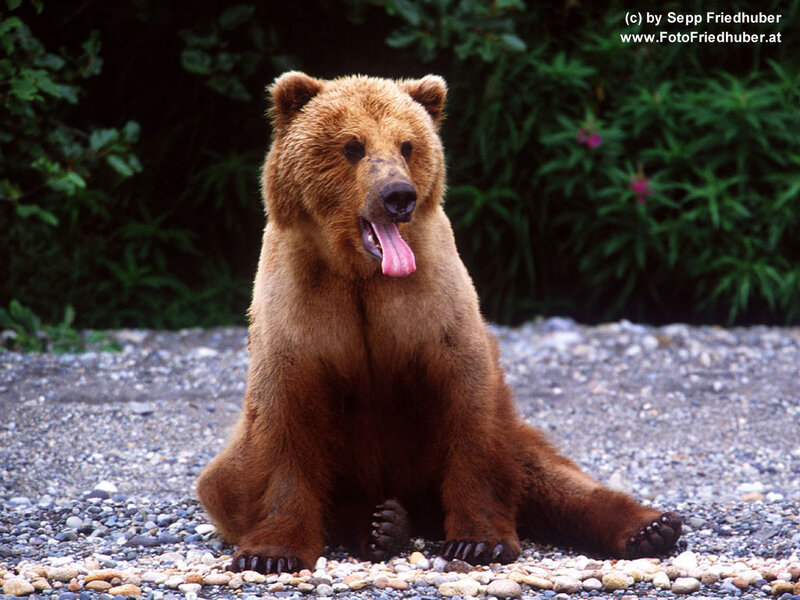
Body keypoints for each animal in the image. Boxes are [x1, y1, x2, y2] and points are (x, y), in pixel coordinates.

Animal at [196, 71, 683, 574]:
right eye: (352, 145)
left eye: (407, 145)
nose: (398, 196)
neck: (362, 275)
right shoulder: (299, 305)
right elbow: (286, 419)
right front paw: (271, 553)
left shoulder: (431, 302)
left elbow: (467, 406)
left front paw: (478, 542)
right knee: (223, 482)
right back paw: (380, 524)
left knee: (547, 474)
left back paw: (650, 527)